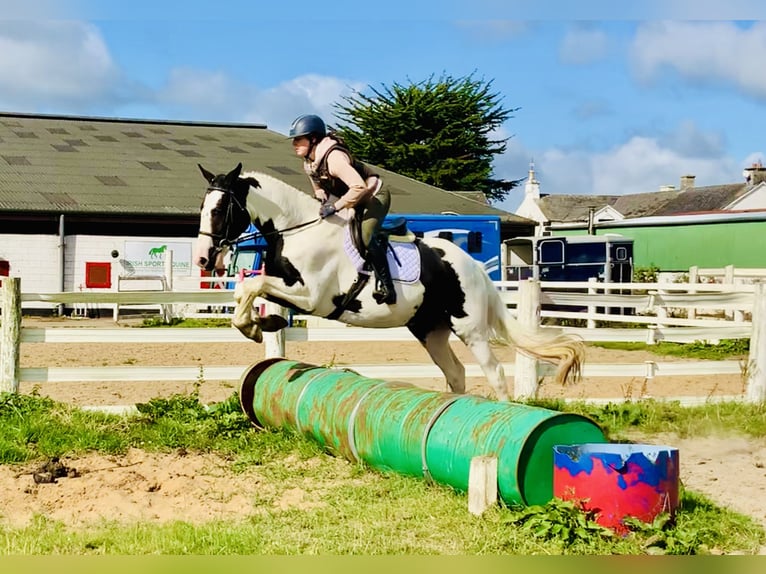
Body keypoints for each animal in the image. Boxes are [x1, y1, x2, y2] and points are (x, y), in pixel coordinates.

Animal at [194, 162, 584, 402]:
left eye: (219, 210)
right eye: (202, 207)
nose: (203, 259)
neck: (297, 229)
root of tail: (471, 265)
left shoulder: (312, 297)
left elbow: (252, 286)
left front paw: (255, 327)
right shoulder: (287, 286)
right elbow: (251, 290)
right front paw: (263, 324)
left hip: (469, 327)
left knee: (494, 371)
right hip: (430, 329)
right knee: (455, 372)